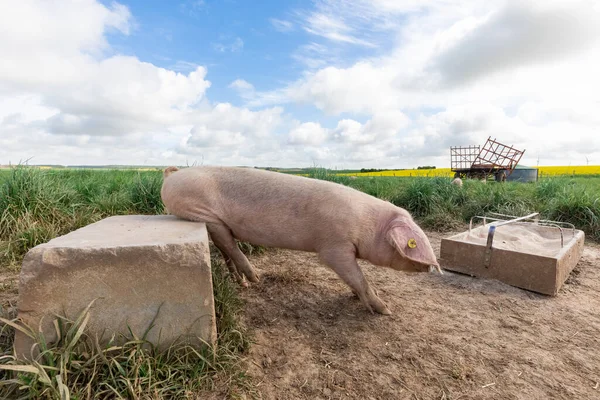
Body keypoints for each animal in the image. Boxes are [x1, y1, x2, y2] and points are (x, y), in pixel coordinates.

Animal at [159, 166, 440, 316]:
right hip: (200, 211)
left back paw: (244, 283)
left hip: (214, 222)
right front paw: (385, 310)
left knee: (224, 246)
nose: (432, 267)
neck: (367, 226)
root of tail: (172, 175)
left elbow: (355, 279)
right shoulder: (334, 247)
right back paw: (257, 278)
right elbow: (358, 277)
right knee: (229, 245)